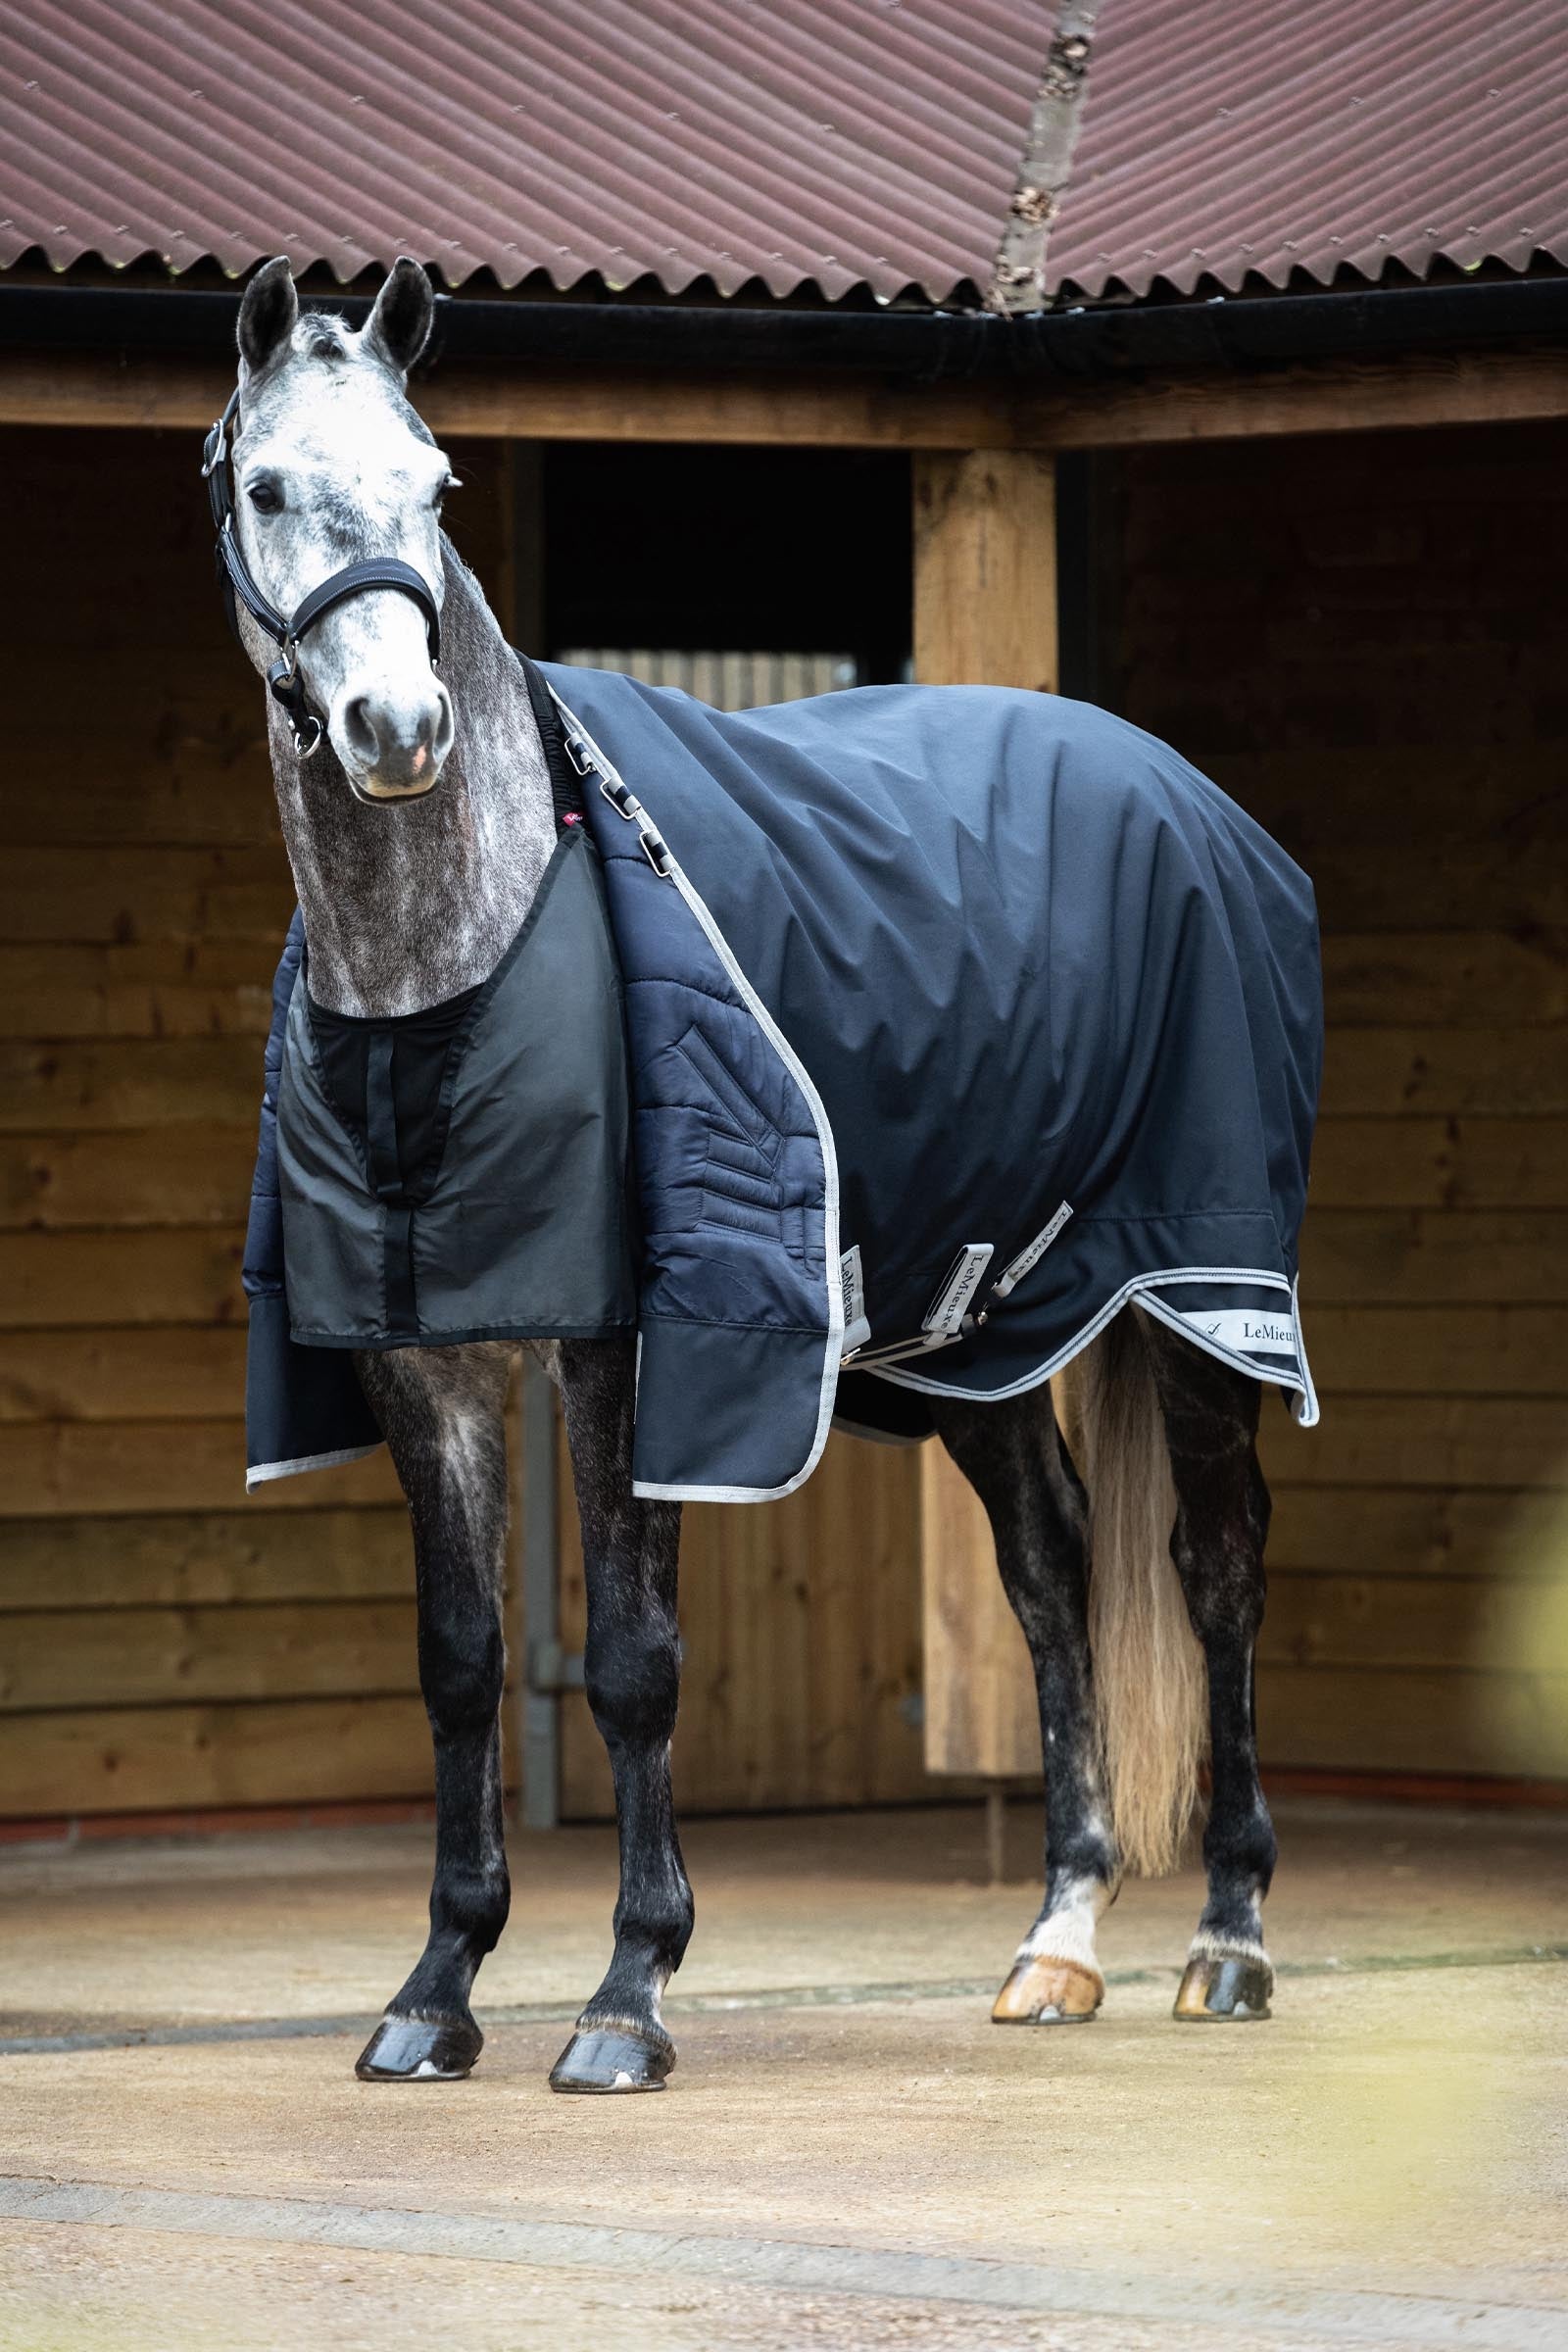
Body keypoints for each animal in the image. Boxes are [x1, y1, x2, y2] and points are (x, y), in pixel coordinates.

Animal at [211, 253, 1305, 2094]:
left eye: (437, 484)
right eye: (269, 485)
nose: (399, 726)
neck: (457, 957)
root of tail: (1204, 808)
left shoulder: (627, 1340)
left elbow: (635, 1664)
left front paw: (626, 1996)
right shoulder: (425, 1359)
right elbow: (460, 1662)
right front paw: (436, 1990)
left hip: (1198, 1293)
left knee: (1213, 1575)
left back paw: (1228, 1941)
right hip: (989, 1332)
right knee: (1053, 1575)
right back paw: (1059, 1942)